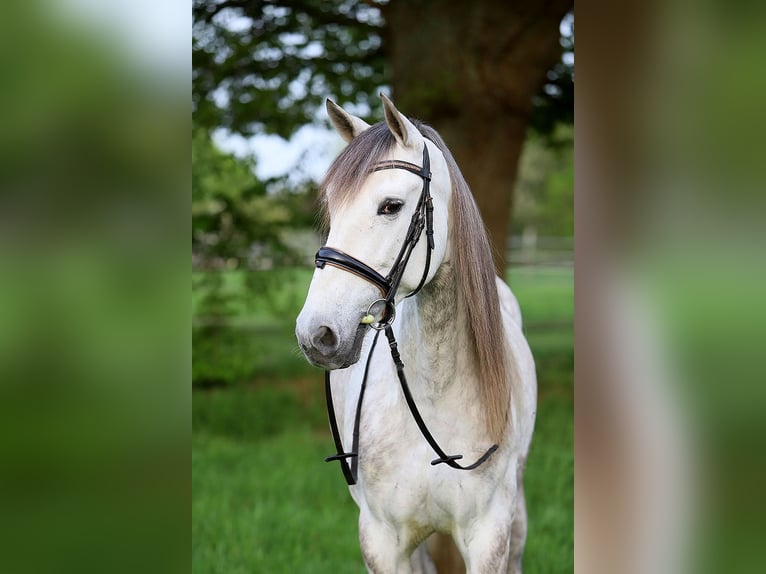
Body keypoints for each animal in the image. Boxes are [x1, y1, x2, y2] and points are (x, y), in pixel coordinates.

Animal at [295, 94, 537, 573]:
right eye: (332, 206)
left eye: (390, 206)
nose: (317, 333)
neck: (435, 391)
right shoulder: (382, 540)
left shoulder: (490, 536)